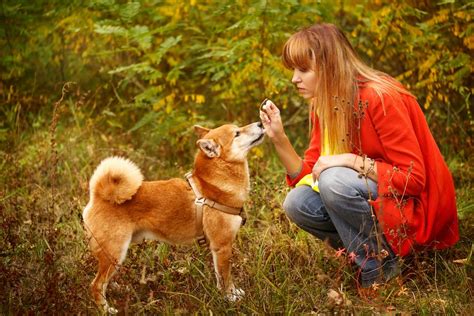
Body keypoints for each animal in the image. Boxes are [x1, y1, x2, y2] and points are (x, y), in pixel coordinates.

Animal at [83, 122, 264, 312]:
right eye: (237, 133)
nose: (260, 123)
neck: (213, 185)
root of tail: (98, 196)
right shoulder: (222, 246)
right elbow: (226, 277)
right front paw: (231, 297)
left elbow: (220, 276)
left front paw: (230, 293)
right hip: (115, 251)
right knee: (96, 285)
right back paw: (106, 309)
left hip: (117, 254)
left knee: (105, 280)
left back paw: (117, 288)